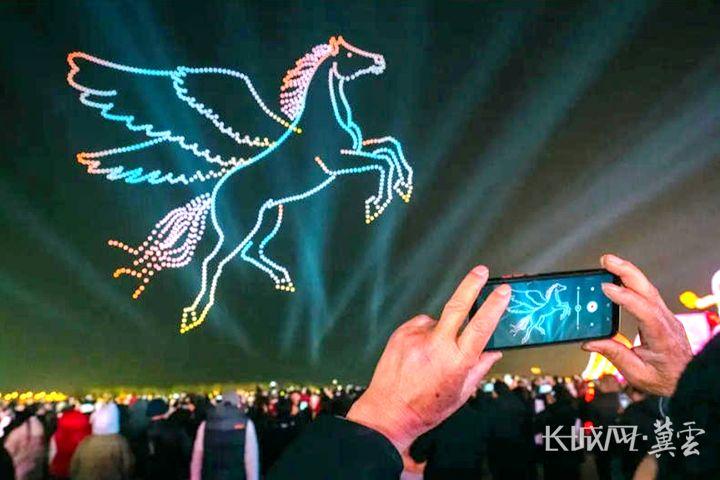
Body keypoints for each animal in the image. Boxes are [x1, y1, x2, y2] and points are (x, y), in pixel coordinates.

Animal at [67, 36, 413, 333]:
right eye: (350, 55)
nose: (380, 60)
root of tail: (216, 193)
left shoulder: (356, 150)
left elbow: (388, 149)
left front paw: (404, 186)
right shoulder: (336, 164)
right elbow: (382, 161)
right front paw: (376, 204)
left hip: (270, 216)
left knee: (252, 251)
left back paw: (282, 279)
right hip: (245, 225)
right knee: (216, 261)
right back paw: (195, 312)